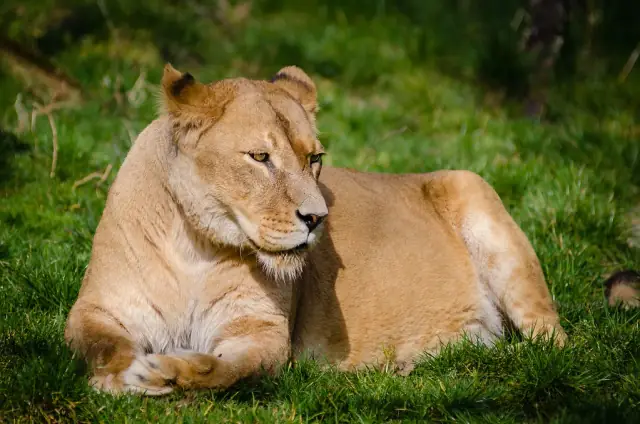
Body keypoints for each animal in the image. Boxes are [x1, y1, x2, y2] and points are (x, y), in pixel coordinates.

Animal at [65, 64, 566, 395]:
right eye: (260, 157)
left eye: (315, 158)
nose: (317, 218)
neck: (194, 246)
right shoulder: (96, 308)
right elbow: (102, 344)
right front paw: (119, 375)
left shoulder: (262, 330)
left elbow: (225, 370)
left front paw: (166, 373)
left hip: (475, 192)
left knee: (556, 343)